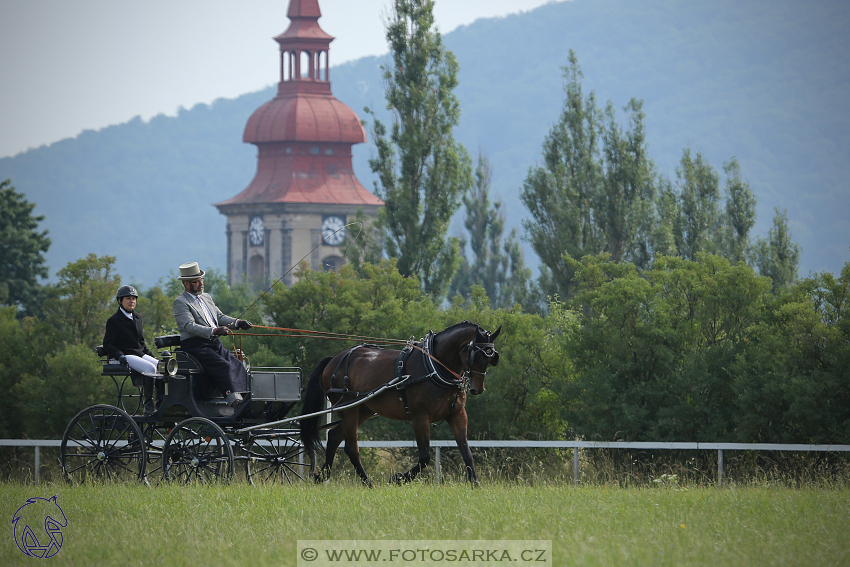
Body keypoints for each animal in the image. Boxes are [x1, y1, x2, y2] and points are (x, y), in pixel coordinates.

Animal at [300, 322, 500, 486]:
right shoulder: (420, 417)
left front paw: (476, 485)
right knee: (351, 448)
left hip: (363, 409)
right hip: (350, 410)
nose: (477, 388)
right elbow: (425, 457)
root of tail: (333, 360)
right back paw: (368, 484)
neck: (434, 365)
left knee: (334, 436)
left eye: (491, 358)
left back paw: (322, 475)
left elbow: (467, 453)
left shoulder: (457, 415)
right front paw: (399, 478)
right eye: (475, 355)